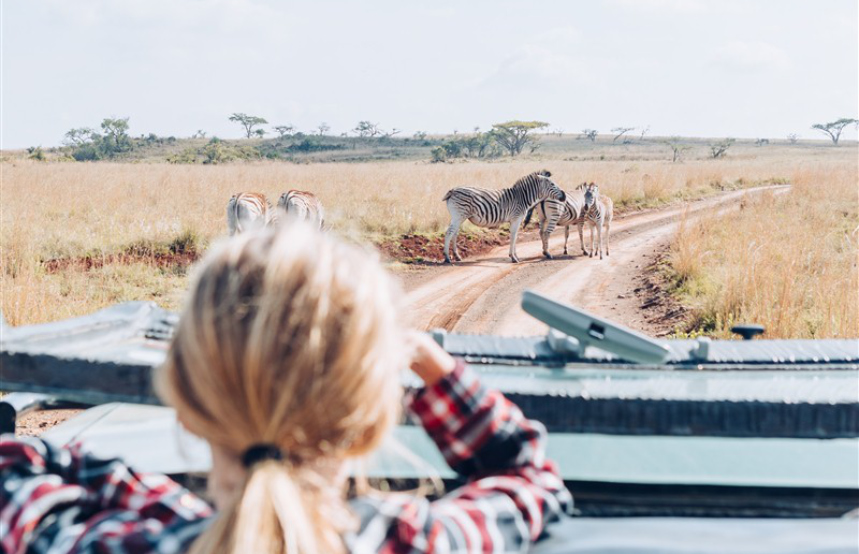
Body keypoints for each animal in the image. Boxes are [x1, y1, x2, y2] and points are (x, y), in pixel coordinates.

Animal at [440, 168, 568, 264]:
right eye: (552, 184)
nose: (564, 196)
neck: (522, 197)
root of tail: (453, 190)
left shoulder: (516, 220)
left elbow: (515, 237)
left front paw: (515, 256)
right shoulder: (516, 218)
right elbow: (514, 236)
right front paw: (513, 257)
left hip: (459, 217)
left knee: (454, 233)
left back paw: (457, 256)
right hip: (458, 215)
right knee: (449, 233)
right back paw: (447, 258)